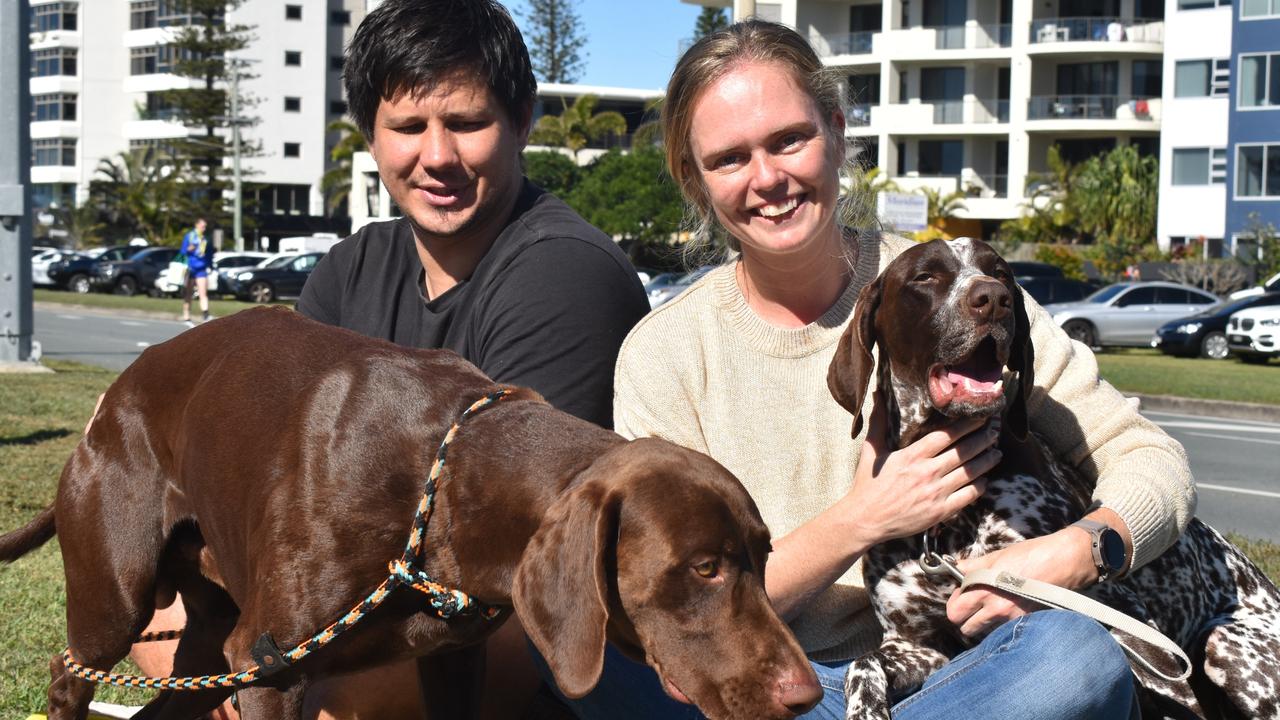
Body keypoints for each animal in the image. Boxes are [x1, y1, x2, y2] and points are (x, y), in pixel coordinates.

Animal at [0, 304, 819, 717]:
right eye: (704, 567)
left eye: (764, 557)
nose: (806, 695)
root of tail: (111, 397)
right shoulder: (271, 669)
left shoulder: (452, 661)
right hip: (118, 596)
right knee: (70, 670)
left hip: (205, 645)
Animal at [829, 237, 1280, 717]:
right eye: (925, 276)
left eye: (1001, 273)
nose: (993, 299)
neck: (947, 523)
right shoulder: (920, 644)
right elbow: (863, 662)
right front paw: (865, 708)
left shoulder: (1126, 622)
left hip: (1225, 641)